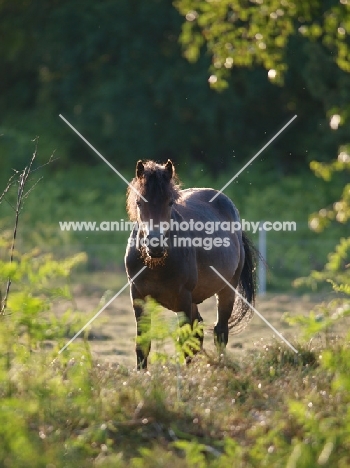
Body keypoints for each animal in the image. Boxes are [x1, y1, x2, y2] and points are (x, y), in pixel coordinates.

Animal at [124, 161, 256, 370]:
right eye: (139, 202)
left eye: (170, 202)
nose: (155, 245)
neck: (156, 265)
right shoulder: (138, 296)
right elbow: (142, 344)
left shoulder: (183, 297)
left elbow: (185, 342)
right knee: (199, 332)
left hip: (226, 290)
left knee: (220, 332)